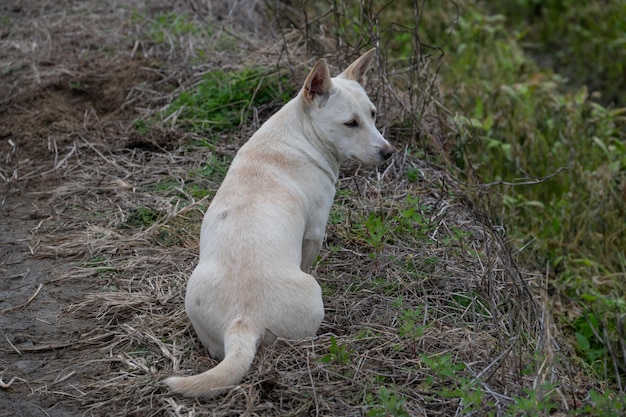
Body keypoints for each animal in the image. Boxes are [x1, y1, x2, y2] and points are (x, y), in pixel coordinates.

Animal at [163, 48, 392, 396]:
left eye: (374, 115)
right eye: (351, 123)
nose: (389, 152)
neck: (300, 133)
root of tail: (242, 324)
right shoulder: (314, 232)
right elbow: (310, 257)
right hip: (311, 298)